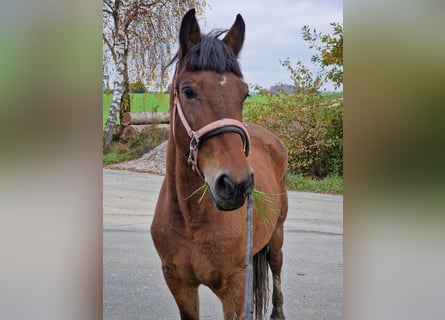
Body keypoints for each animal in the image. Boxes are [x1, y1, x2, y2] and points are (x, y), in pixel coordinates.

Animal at [150, 8, 288, 320]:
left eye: (244, 93)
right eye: (188, 91)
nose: (236, 184)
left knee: (276, 268)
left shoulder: (235, 287)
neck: (191, 221)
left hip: (277, 235)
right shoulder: (178, 283)